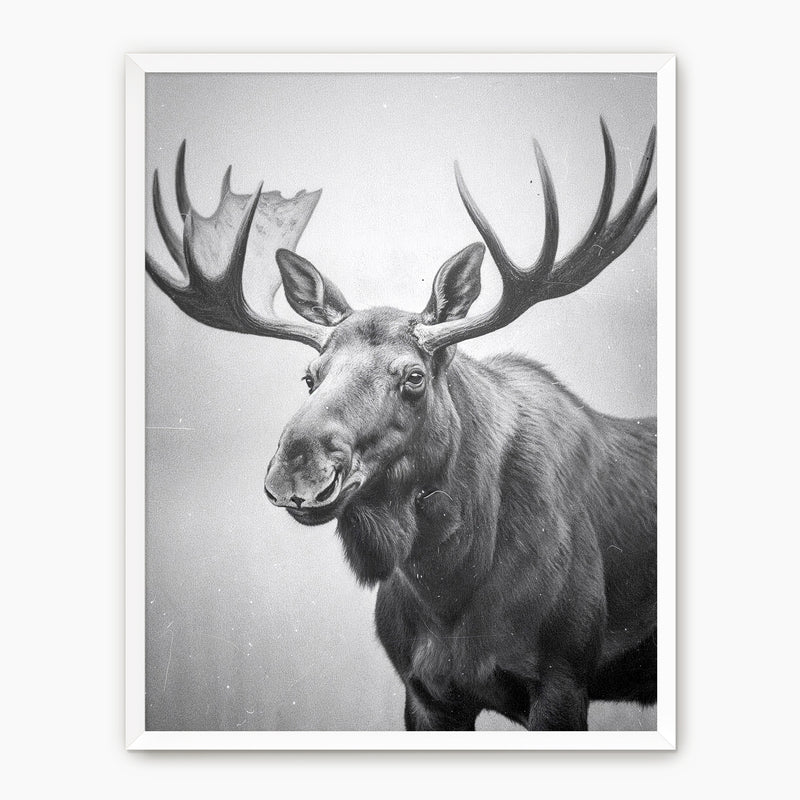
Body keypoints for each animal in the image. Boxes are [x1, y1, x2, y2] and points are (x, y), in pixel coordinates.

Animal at [146, 119, 657, 731]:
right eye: (309, 376)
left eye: (413, 376)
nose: (296, 470)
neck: (450, 582)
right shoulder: (424, 691)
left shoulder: (564, 675)